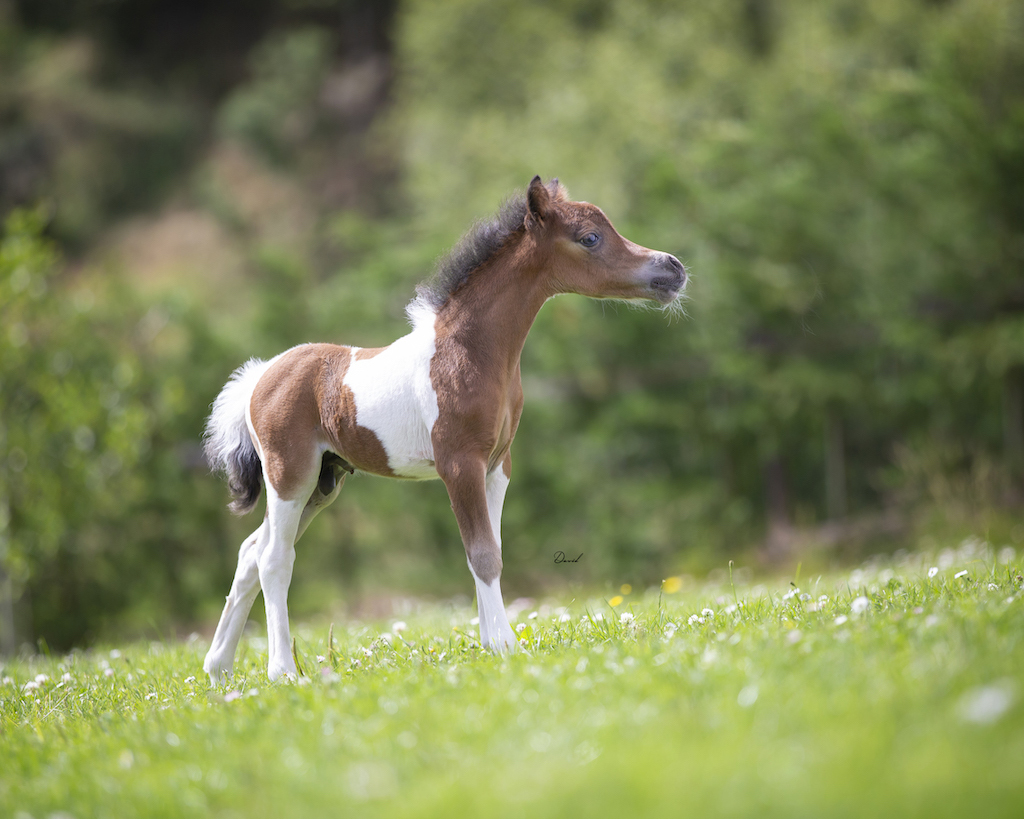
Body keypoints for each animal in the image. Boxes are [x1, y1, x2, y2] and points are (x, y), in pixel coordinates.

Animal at [201, 176, 687, 682]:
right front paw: (505, 645)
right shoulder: (459, 464)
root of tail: (259, 377)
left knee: (250, 552)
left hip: (323, 483)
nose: (672, 269)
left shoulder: (497, 466)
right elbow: (482, 554)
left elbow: (491, 549)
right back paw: (282, 671)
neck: (471, 350)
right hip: (289, 477)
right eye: (590, 238)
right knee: (274, 559)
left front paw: (490, 641)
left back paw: (218, 669)